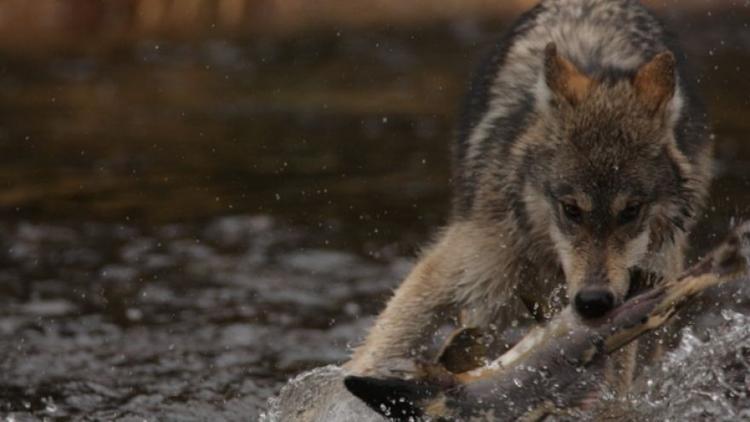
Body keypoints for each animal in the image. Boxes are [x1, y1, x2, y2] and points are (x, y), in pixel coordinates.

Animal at [346, 0, 712, 398]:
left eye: (631, 211)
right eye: (571, 209)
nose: (593, 302)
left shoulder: (636, 304)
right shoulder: (460, 268)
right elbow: (379, 344)